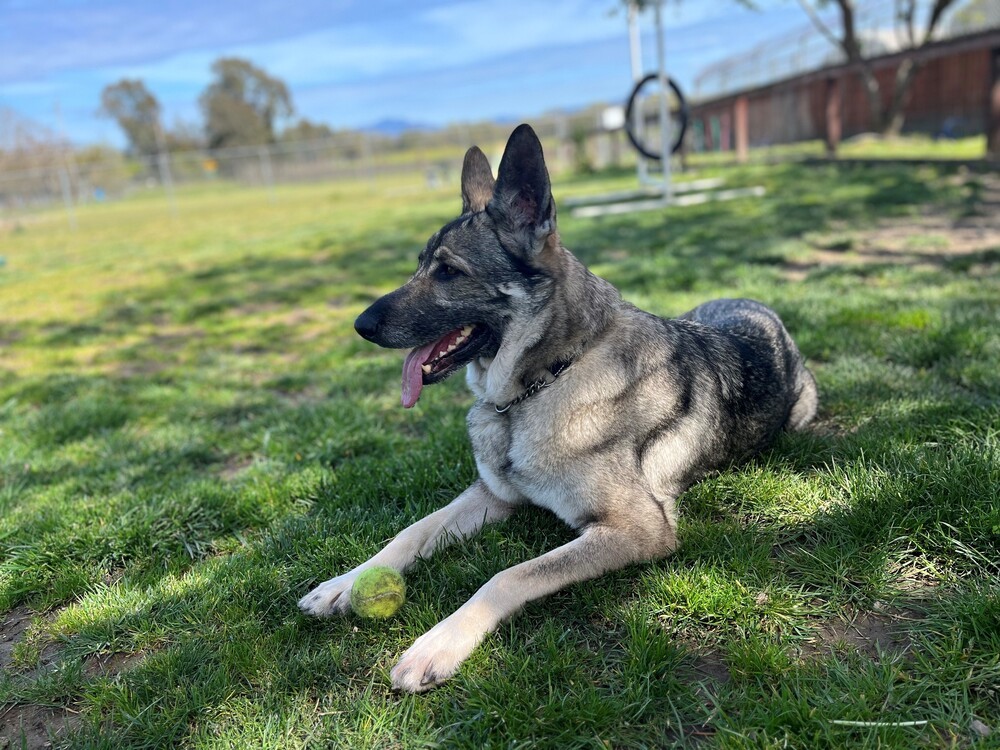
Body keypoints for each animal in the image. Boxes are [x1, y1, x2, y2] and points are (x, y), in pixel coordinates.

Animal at [300, 123, 816, 692]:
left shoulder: (636, 529)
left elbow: (507, 576)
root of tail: (755, 304)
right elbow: (410, 531)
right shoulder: (493, 495)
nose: (360, 326)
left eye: (448, 272)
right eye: (418, 266)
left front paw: (437, 644)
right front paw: (345, 583)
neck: (543, 382)